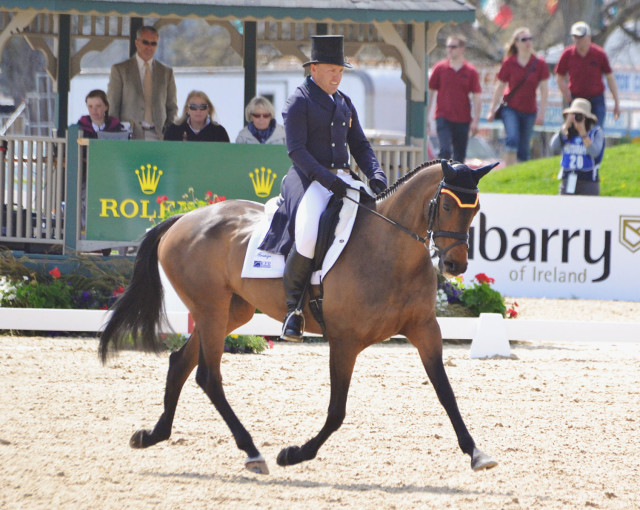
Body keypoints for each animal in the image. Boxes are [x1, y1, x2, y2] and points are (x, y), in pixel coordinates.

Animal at [100, 159, 500, 474]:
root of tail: (184, 218)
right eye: (445, 205)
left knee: (181, 362)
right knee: (208, 376)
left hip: (231, 311)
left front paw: (477, 453)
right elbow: (337, 411)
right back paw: (252, 452)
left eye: (476, 208)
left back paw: (154, 435)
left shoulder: (424, 329)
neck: (390, 249)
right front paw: (295, 454)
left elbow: (446, 394)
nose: (454, 265)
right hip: (211, 309)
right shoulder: (345, 340)